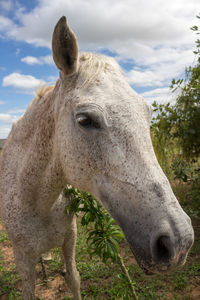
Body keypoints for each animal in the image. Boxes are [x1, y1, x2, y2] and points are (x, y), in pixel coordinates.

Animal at [0, 17, 194, 300]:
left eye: (147, 114)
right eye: (85, 120)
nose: (178, 242)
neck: (36, 200)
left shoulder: (69, 241)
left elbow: (74, 279)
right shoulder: (22, 258)